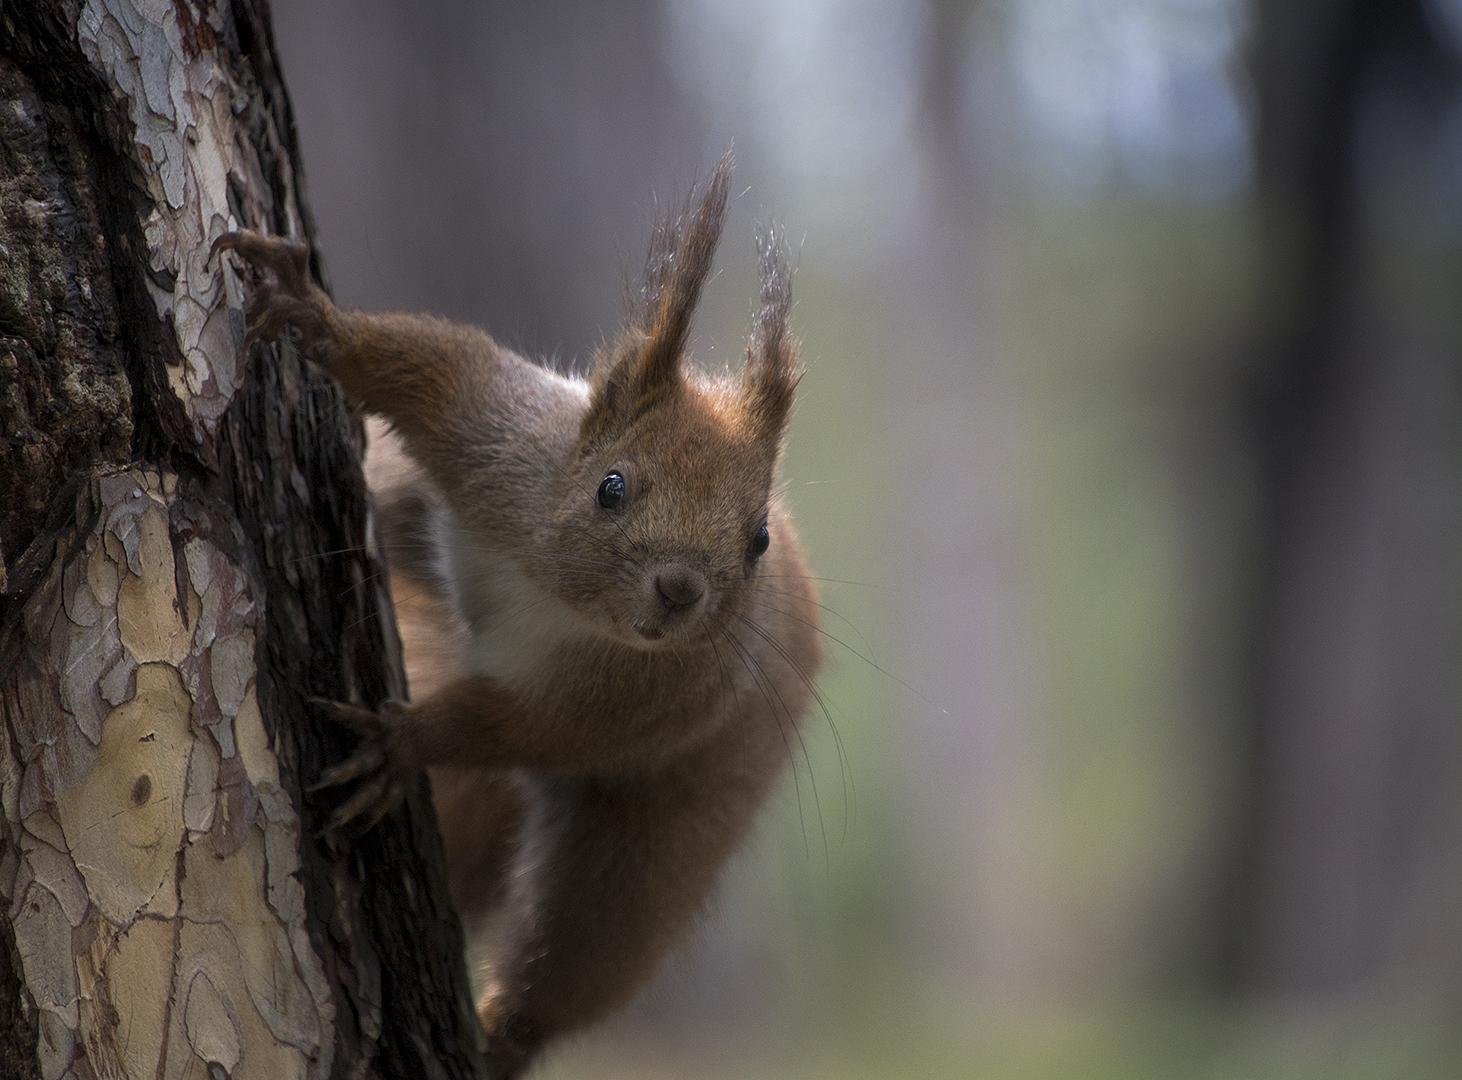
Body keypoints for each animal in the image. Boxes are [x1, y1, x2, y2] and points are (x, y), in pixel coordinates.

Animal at [212, 154, 822, 1077]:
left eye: (755, 540)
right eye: (611, 485)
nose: (681, 590)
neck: (561, 600)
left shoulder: (649, 700)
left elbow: (515, 725)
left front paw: (400, 744)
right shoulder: (505, 445)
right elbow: (430, 372)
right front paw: (314, 316)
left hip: (655, 841)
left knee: (578, 950)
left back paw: (501, 1039)